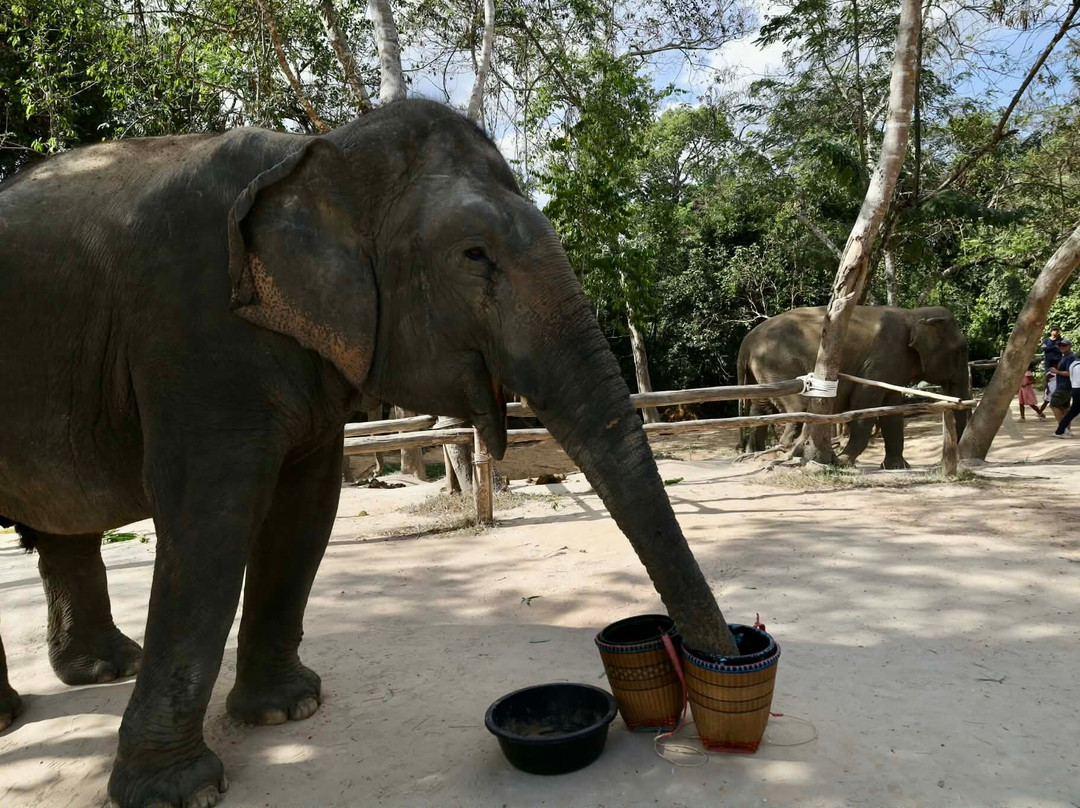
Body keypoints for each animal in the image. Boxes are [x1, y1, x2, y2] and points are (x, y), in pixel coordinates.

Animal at [0, 99, 736, 807]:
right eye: (474, 255)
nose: (720, 663)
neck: (319, 153)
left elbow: (305, 507)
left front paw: (286, 711)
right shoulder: (191, 326)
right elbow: (209, 518)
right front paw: (180, 792)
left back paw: (100, 670)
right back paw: (20, 711)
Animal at [737, 305, 971, 468]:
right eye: (960, 350)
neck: (912, 314)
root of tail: (746, 343)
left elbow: (891, 410)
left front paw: (897, 467)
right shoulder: (880, 362)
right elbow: (864, 404)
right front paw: (843, 461)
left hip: (761, 373)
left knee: (760, 409)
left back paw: (755, 456)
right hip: (778, 364)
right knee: (797, 409)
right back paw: (784, 452)